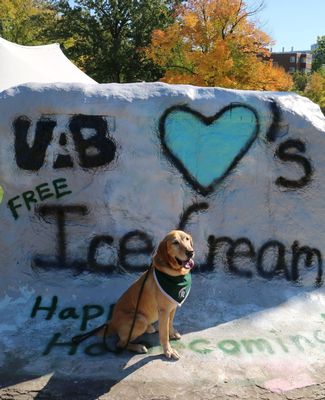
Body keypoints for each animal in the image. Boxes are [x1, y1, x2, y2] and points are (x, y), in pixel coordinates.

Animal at [100, 228, 194, 360]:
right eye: (175, 242)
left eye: (187, 239)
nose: (190, 252)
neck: (175, 274)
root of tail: (112, 323)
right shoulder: (164, 310)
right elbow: (164, 334)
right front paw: (168, 350)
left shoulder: (173, 307)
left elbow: (170, 324)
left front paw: (172, 333)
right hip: (140, 320)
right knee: (120, 343)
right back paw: (138, 347)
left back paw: (150, 328)